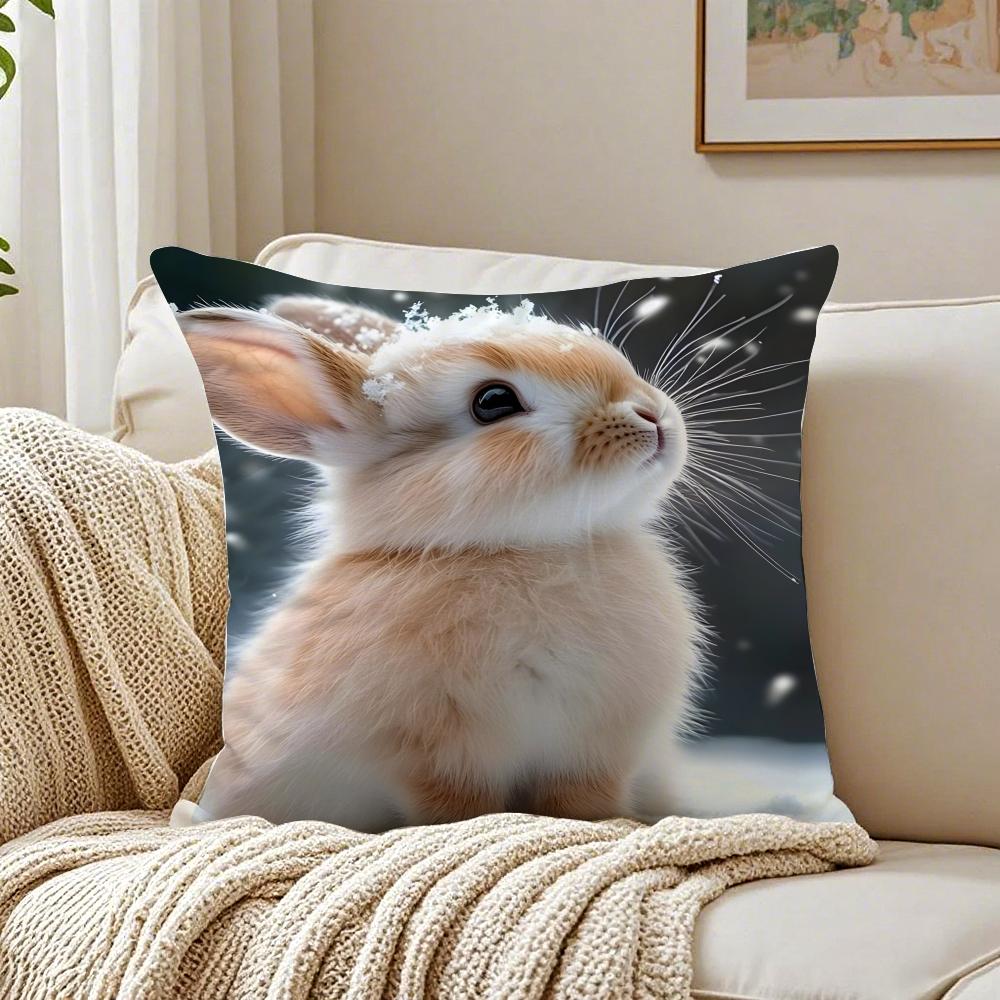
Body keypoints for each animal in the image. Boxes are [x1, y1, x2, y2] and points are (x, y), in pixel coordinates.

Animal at [177, 293, 704, 832]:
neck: (526, 549)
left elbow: (585, 804)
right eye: (493, 401)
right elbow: (459, 809)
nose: (651, 415)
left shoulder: (596, 747)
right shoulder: (434, 752)